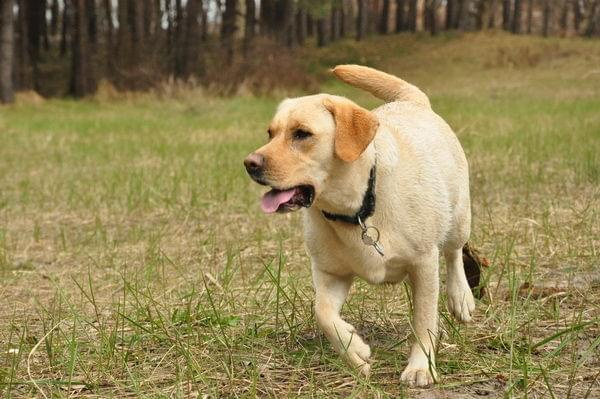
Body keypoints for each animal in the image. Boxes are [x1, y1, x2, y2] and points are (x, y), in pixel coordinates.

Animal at [241, 65, 476, 388]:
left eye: (302, 134)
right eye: (270, 133)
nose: (250, 163)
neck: (357, 210)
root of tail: (413, 101)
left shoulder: (424, 263)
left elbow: (424, 320)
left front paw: (420, 367)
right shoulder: (330, 273)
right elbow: (323, 312)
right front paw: (355, 351)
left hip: (458, 218)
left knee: (454, 254)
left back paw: (461, 298)